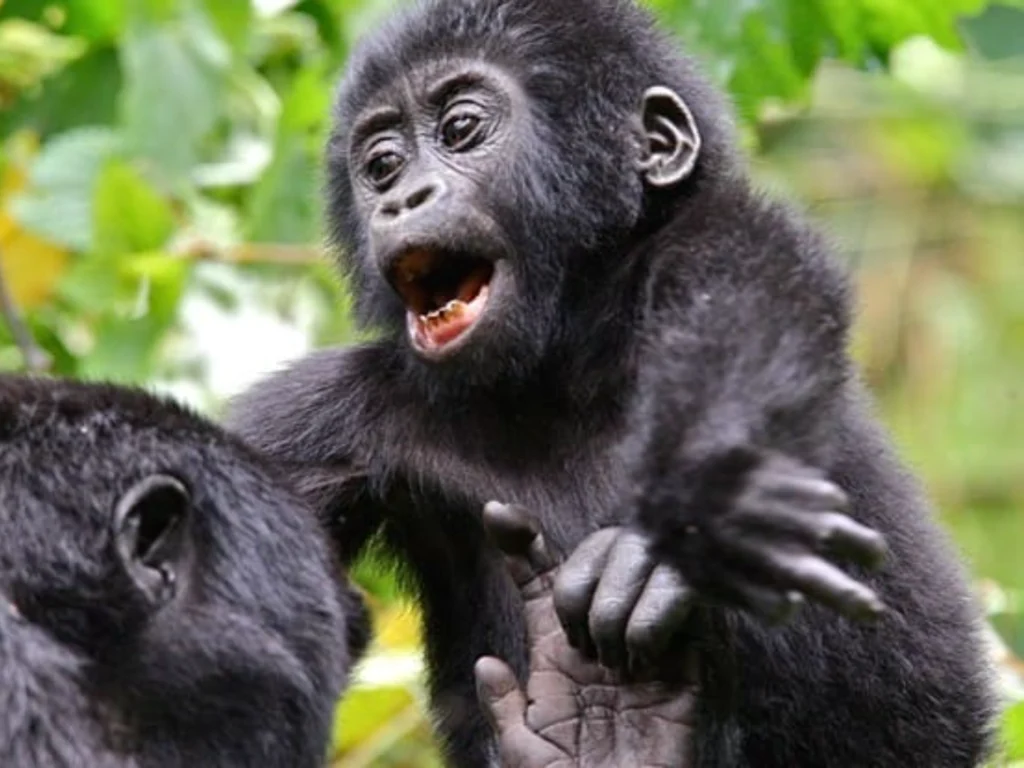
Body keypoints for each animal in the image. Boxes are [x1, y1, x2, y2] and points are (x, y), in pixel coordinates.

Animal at [227, 0, 995, 764]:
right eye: (382, 165)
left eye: (461, 130)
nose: (402, 199)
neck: (561, 375)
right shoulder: (332, 414)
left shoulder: (712, 239)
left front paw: (692, 524)